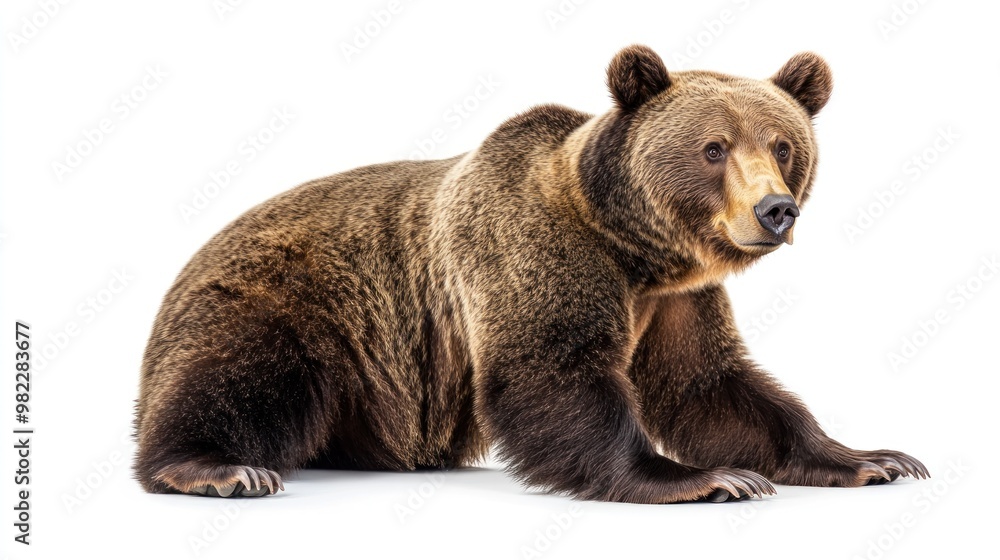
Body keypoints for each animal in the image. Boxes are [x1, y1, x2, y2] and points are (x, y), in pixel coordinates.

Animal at [133, 45, 928, 502]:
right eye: (713, 147)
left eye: (784, 144)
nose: (775, 210)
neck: (633, 249)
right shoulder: (533, 251)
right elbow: (551, 370)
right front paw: (705, 478)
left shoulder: (678, 298)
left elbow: (710, 384)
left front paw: (875, 459)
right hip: (293, 306)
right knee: (235, 376)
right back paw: (218, 467)